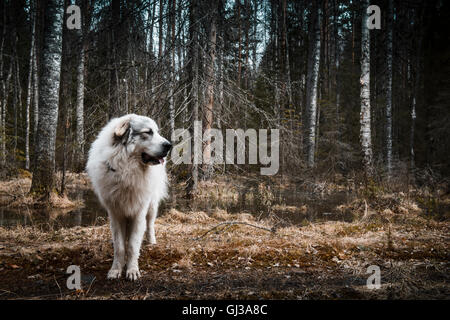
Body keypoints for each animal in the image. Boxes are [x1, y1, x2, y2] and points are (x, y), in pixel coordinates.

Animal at [85, 114, 171, 280]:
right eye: (148, 132)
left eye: (157, 131)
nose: (169, 145)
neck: (127, 171)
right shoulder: (116, 214)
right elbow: (120, 247)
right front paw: (116, 270)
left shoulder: (139, 213)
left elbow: (132, 245)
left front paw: (132, 270)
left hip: (151, 206)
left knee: (150, 224)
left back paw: (151, 241)